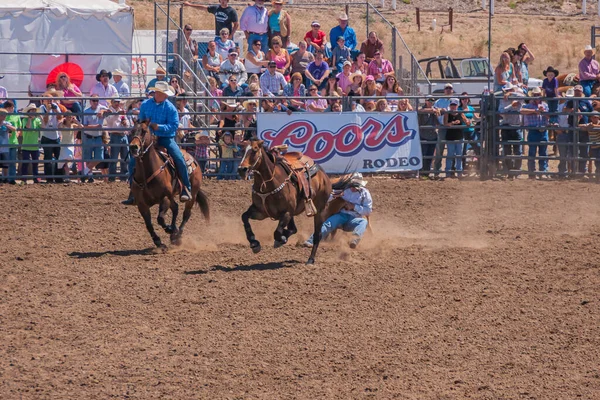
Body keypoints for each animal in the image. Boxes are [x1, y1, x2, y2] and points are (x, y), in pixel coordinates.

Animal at [128, 120, 209, 248]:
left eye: (144, 131)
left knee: (186, 213)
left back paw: (177, 236)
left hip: (192, 193)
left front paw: (170, 230)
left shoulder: (165, 198)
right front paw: (158, 242)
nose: (133, 147)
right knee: (175, 208)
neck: (147, 173)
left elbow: (160, 218)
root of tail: (193, 159)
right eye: (131, 131)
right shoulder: (141, 204)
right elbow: (149, 224)